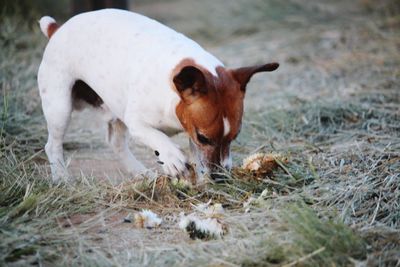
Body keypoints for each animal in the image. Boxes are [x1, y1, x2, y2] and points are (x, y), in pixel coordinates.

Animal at [39, 8, 280, 184]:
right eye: (204, 137)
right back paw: (61, 178)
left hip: (114, 108)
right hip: (59, 107)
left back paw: (140, 173)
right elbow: (159, 138)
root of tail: (57, 29)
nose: (220, 178)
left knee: (116, 144)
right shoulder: (138, 123)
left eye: (235, 137)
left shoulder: (190, 130)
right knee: (53, 145)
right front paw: (172, 157)